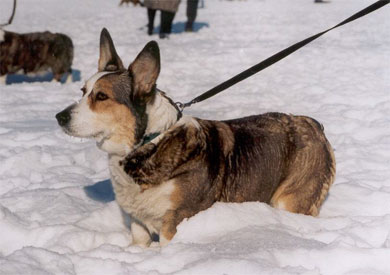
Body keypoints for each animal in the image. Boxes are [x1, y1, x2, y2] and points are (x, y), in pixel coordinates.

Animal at [54, 28, 336, 248]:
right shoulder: (138, 225)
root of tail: (314, 125)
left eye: (101, 96)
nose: (59, 116)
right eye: (83, 91)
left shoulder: (174, 222)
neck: (150, 142)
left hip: (290, 200)